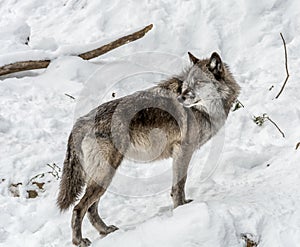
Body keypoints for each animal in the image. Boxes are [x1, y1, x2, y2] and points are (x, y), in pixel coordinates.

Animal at [55, 51, 239, 245]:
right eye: (187, 84)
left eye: (198, 83)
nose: (180, 99)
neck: (204, 109)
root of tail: (80, 122)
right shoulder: (183, 150)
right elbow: (179, 186)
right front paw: (182, 211)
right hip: (105, 175)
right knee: (78, 208)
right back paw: (79, 241)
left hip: (103, 176)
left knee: (91, 208)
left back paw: (105, 230)